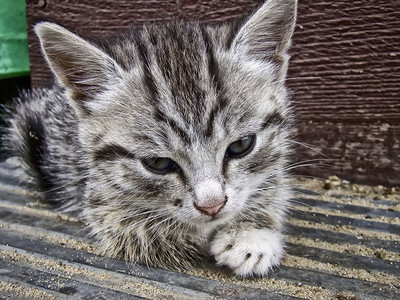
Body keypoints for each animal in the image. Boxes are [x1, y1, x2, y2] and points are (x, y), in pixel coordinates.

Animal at [3, 0, 296, 276]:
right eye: (158, 163)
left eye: (241, 145)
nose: (211, 206)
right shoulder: (98, 196)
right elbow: (138, 229)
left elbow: (271, 185)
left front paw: (250, 233)